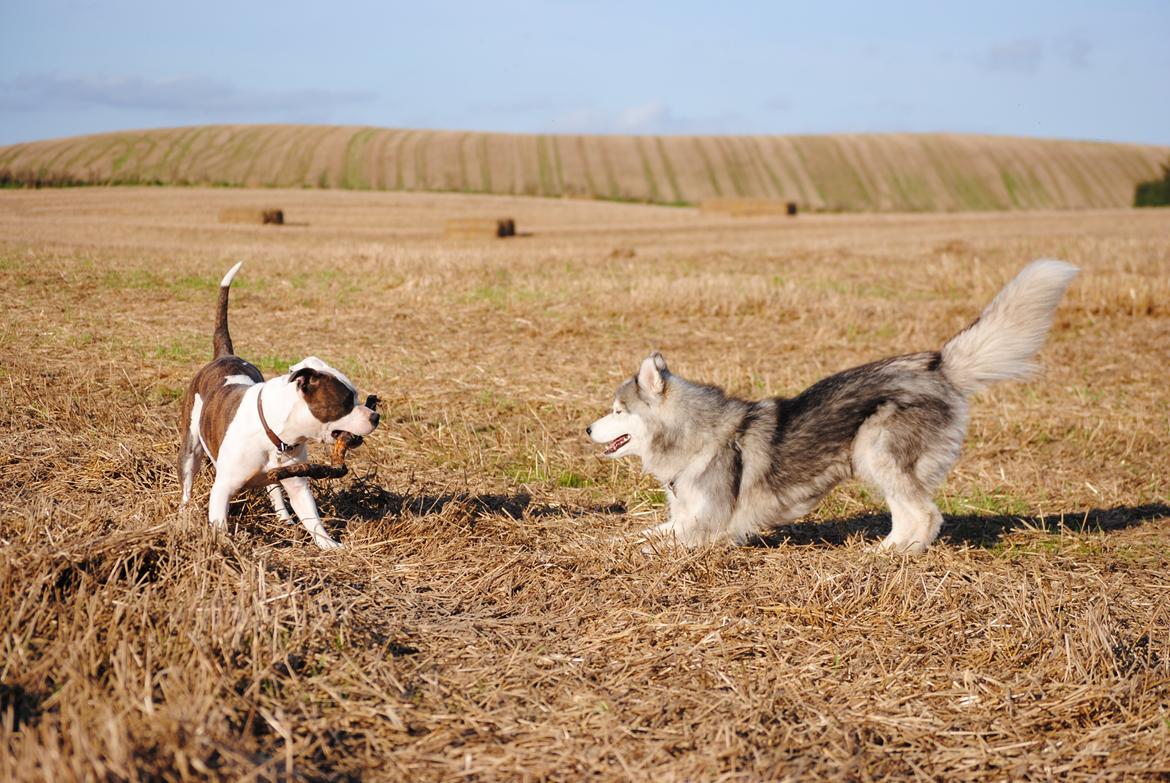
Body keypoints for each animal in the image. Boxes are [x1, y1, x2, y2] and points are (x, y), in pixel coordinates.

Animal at [179, 262, 379, 550]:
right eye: (346, 402)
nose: (375, 416)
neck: (276, 433)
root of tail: (224, 355)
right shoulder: (223, 488)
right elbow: (219, 523)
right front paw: (225, 548)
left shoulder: (296, 483)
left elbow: (312, 518)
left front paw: (329, 545)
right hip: (190, 447)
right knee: (187, 481)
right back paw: (183, 514)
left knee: (275, 491)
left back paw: (284, 518)